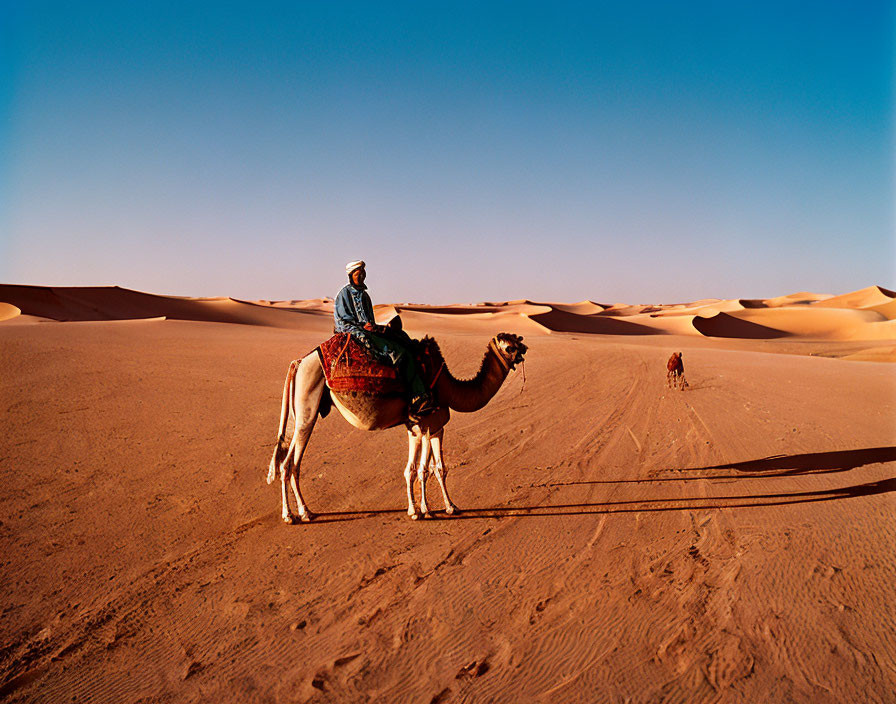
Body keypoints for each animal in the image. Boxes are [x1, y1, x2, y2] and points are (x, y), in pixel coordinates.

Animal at [270, 334, 528, 524]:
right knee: (288, 464)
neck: (448, 388)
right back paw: (293, 515)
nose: (524, 349)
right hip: (307, 406)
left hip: (300, 410)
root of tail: (298, 363)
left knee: (291, 461)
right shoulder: (425, 424)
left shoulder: (429, 427)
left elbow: (434, 468)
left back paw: (304, 512)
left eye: (516, 341)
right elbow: (420, 469)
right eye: (509, 347)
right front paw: (422, 511)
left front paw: (448, 507)